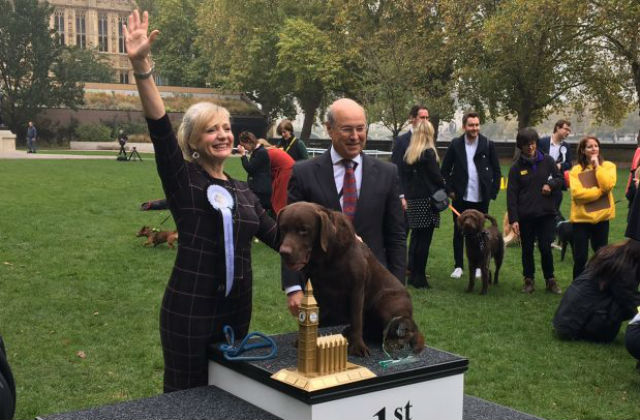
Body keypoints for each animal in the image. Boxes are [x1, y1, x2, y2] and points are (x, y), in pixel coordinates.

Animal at [278, 202, 424, 356]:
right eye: (282, 229)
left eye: (303, 230)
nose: (284, 252)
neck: (326, 259)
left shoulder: (356, 289)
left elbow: (356, 318)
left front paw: (358, 347)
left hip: (386, 304)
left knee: (408, 330)